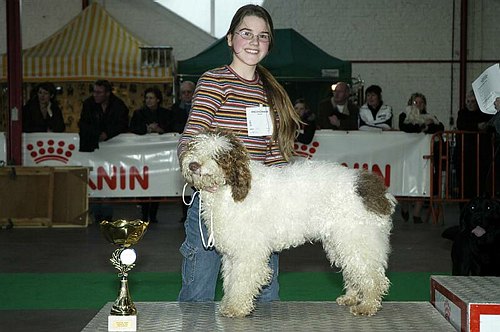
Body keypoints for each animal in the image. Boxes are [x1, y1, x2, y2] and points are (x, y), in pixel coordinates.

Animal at [180, 130, 394, 316]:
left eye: (219, 155)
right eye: (194, 148)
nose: (193, 165)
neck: (230, 190)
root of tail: (374, 189)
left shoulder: (248, 252)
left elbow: (241, 281)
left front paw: (236, 308)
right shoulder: (233, 253)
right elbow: (231, 280)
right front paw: (228, 304)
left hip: (357, 240)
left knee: (373, 277)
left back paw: (367, 305)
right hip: (341, 243)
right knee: (354, 272)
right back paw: (352, 297)